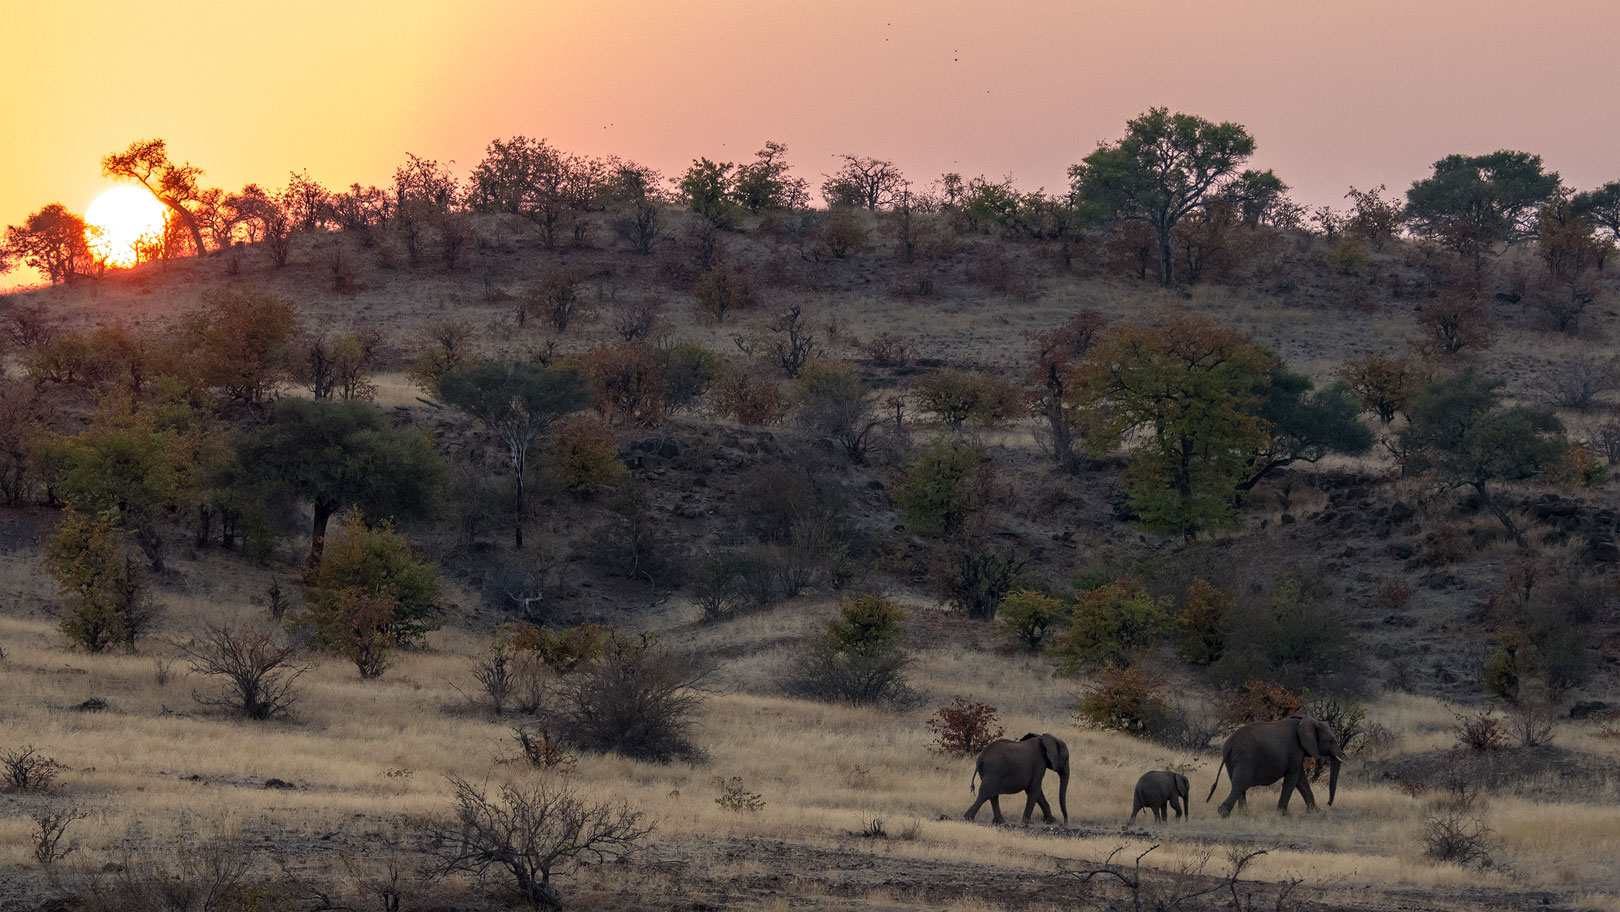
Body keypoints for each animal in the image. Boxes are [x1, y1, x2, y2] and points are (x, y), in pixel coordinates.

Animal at [1211, 712, 1347, 819]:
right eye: (1331, 741)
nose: (1328, 804)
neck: (1305, 721)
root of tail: (1230, 744)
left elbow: (1301, 780)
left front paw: (1316, 811)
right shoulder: (1295, 750)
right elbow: (1293, 778)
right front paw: (1285, 814)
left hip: (1232, 760)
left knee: (1238, 784)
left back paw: (1244, 814)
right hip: (1246, 757)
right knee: (1242, 783)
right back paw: (1224, 813)